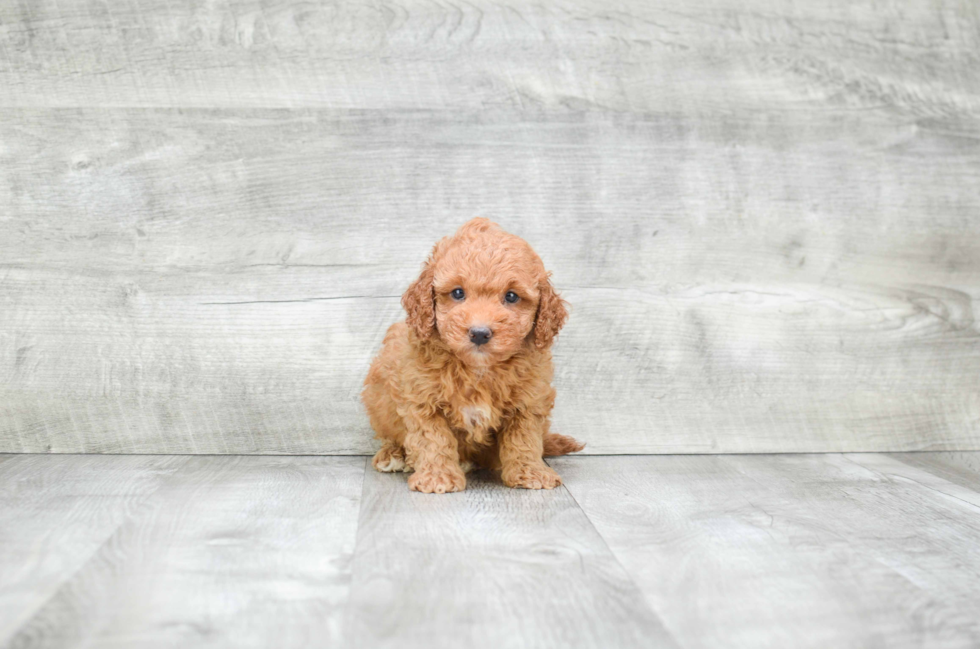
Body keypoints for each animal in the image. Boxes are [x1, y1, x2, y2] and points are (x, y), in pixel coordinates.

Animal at [364, 216, 584, 492]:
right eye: (458, 292)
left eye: (511, 296)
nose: (479, 333)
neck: (478, 368)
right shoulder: (421, 397)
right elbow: (433, 438)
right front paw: (438, 477)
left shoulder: (529, 399)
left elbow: (524, 437)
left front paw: (530, 472)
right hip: (378, 393)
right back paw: (393, 455)